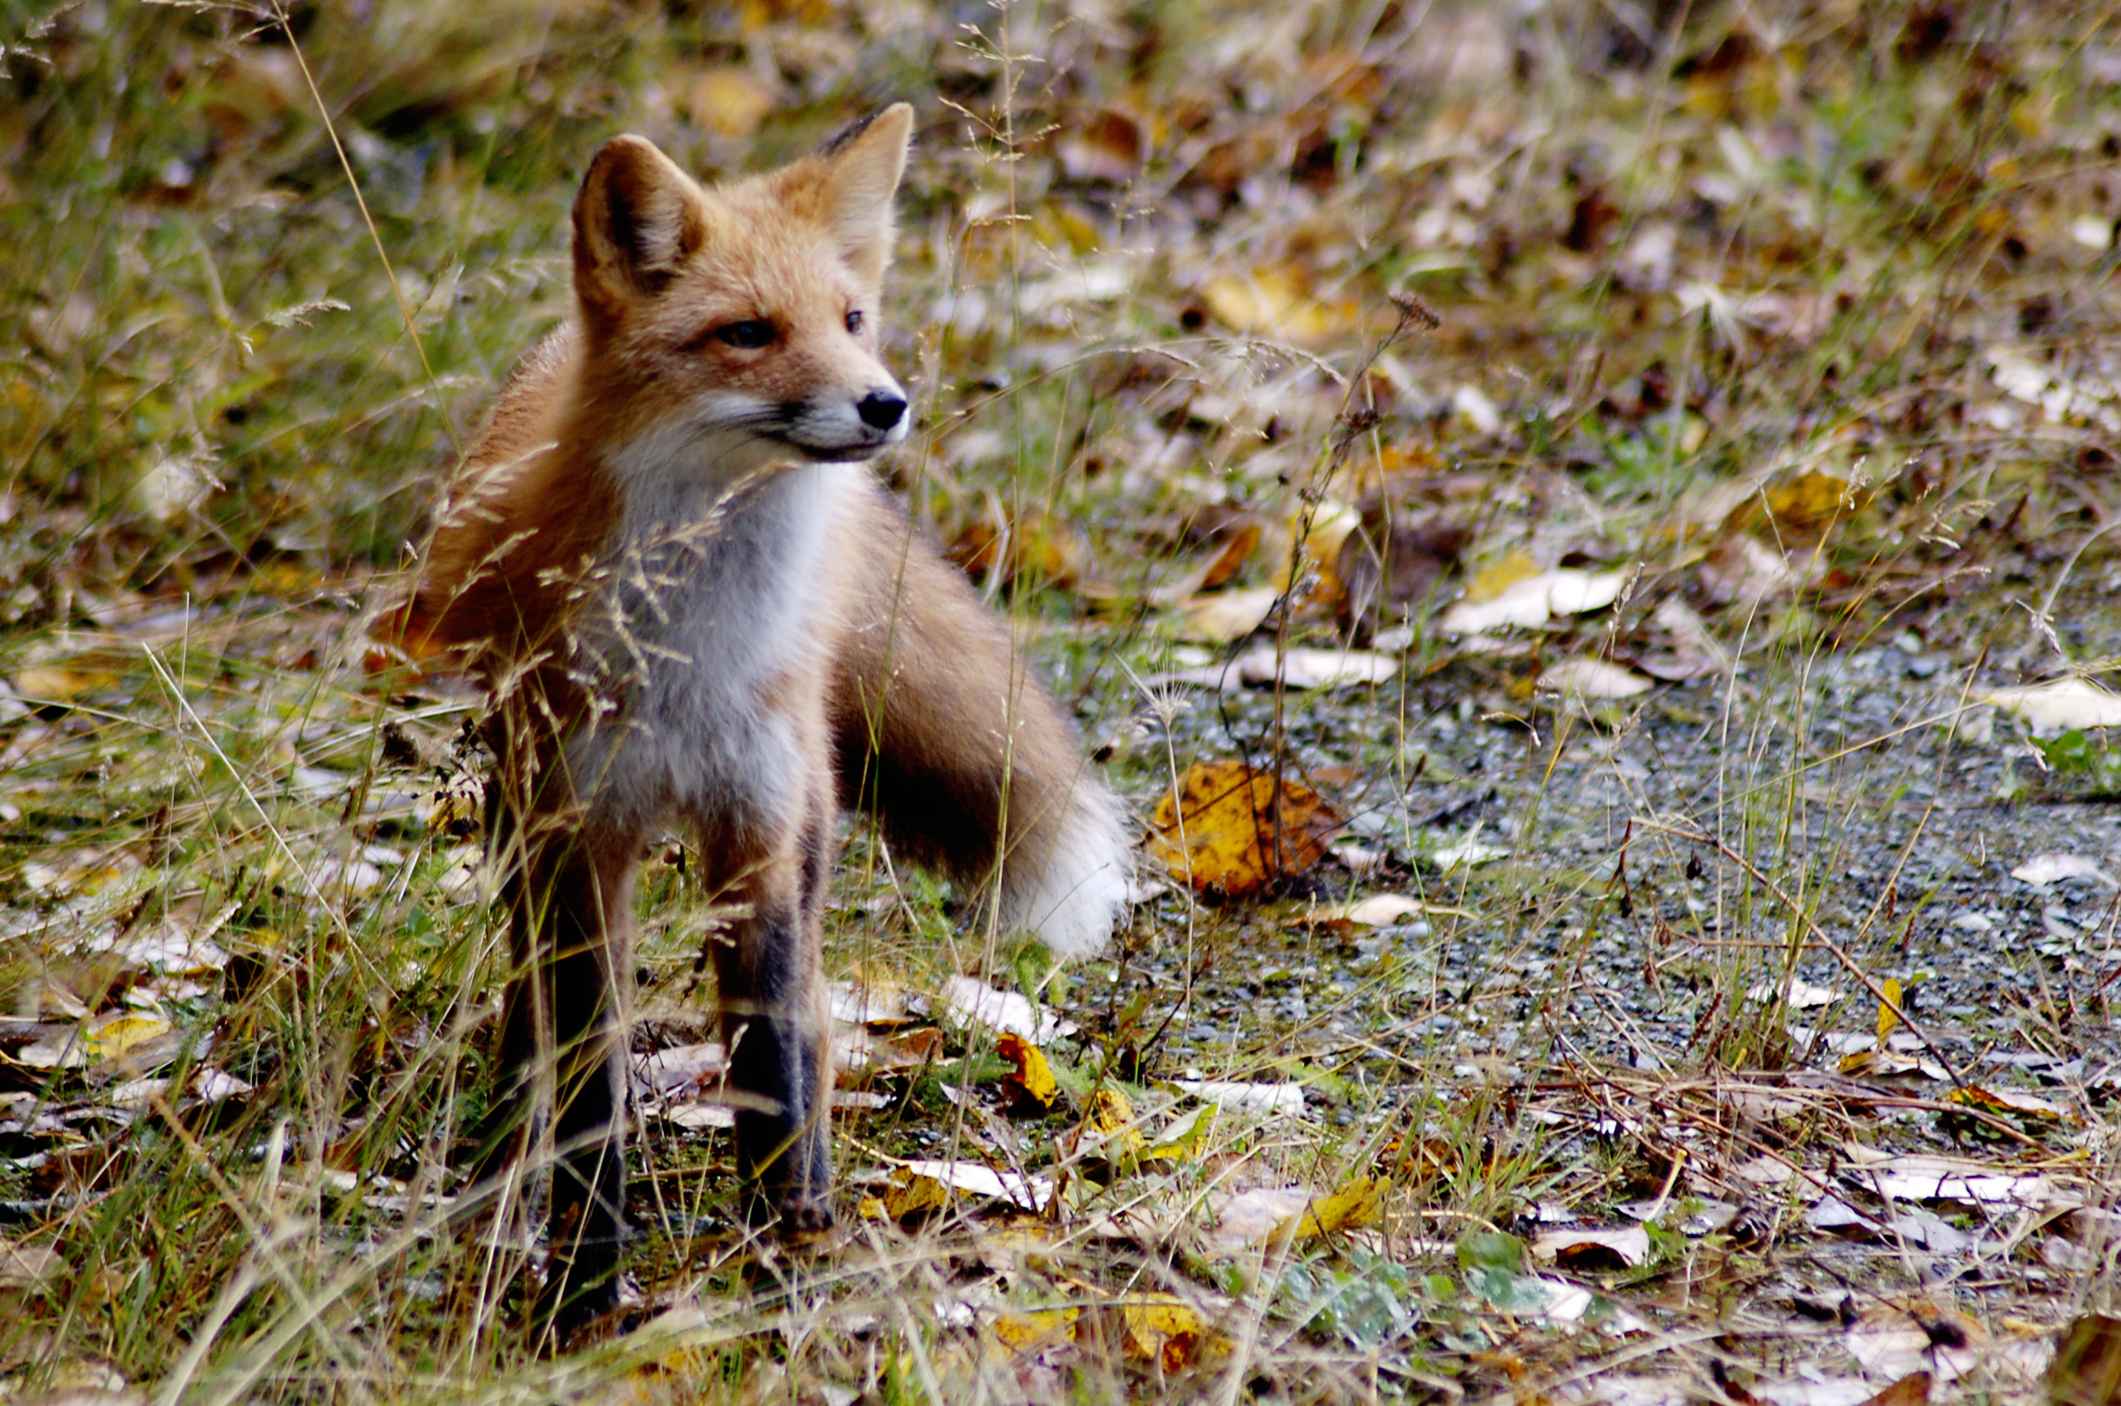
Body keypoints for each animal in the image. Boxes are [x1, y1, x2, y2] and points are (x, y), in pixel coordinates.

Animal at [390, 104, 1136, 1323]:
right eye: (747, 332)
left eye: (852, 319)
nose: (884, 403)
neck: (696, 651)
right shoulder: (583, 840)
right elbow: (592, 1088)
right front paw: (584, 1294)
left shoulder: (759, 829)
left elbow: (770, 1070)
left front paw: (788, 1259)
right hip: (521, 822)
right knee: (525, 1009)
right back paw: (504, 1153)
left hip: (811, 820)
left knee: (815, 1026)